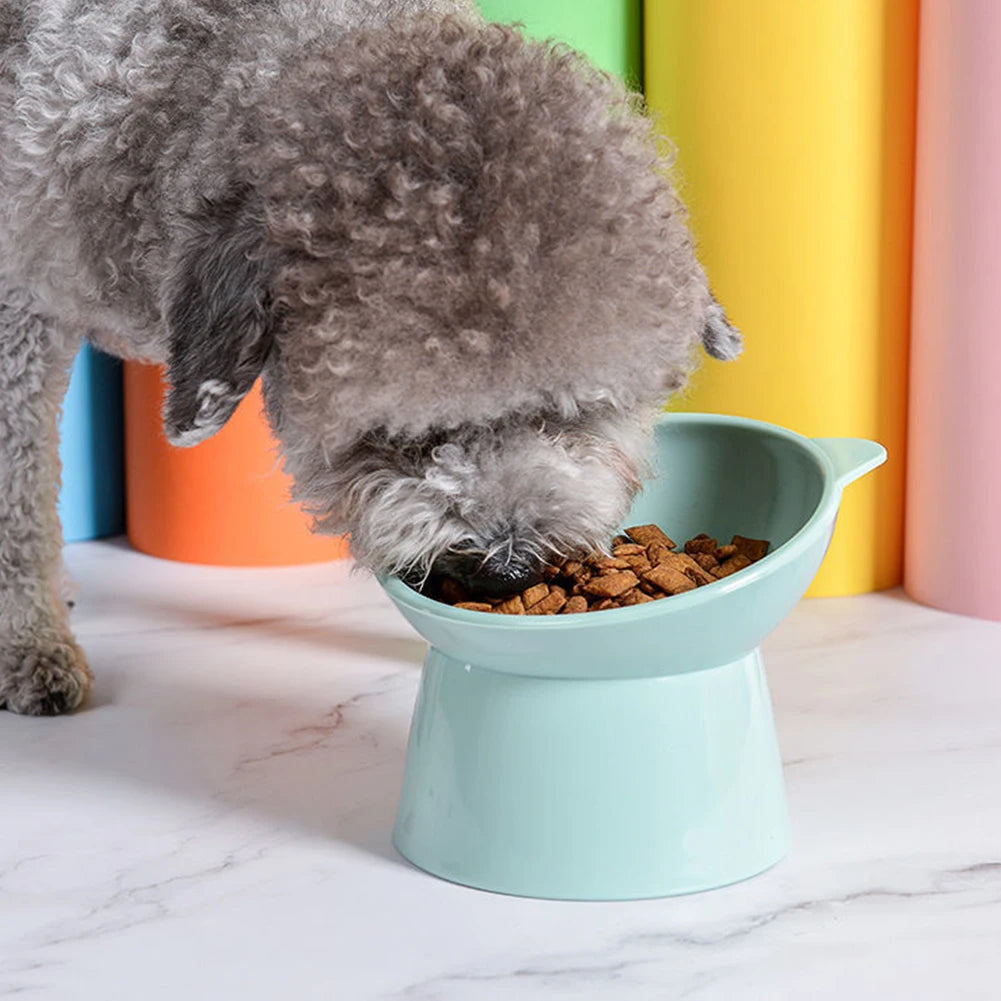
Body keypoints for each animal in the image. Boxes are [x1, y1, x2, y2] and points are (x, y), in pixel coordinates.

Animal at [0, 1, 736, 720]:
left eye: (573, 411)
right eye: (398, 434)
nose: (504, 570)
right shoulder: (19, 312)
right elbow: (20, 497)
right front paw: (30, 645)